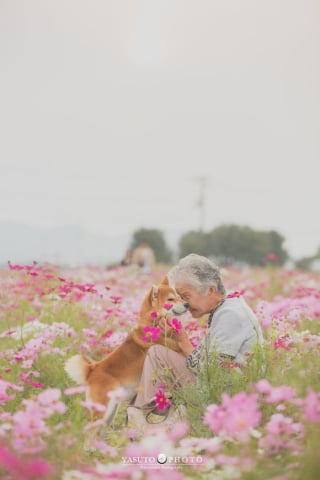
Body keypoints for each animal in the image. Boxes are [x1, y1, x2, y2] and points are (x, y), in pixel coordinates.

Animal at [64, 276, 188, 436]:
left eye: (179, 297)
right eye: (171, 299)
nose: (187, 304)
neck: (152, 325)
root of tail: (93, 369)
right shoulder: (173, 347)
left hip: (110, 413)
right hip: (102, 410)